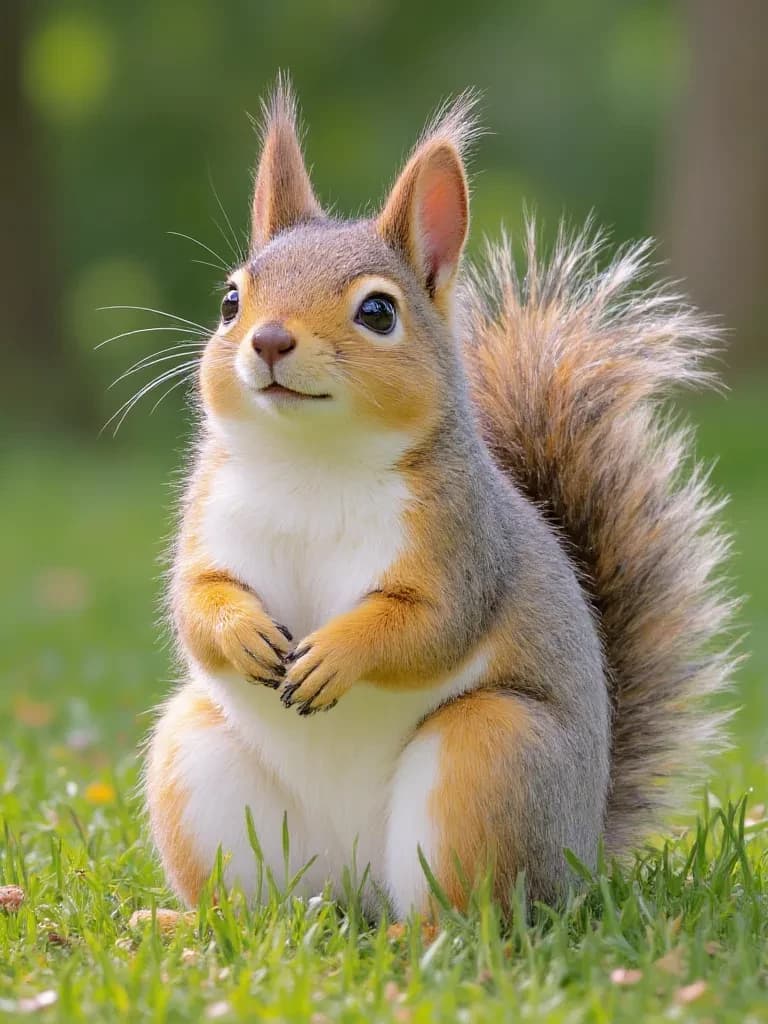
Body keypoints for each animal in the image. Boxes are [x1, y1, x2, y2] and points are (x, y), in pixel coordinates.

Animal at [144, 78, 734, 918]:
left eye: (378, 311)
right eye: (231, 300)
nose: (269, 339)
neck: (311, 463)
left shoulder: (462, 544)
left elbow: (429, 625)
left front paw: (335, 655)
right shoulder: (209, 523)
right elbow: (195, 601)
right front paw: (245, 633)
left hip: (489, 759)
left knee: (463, 914)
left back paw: (422, 932)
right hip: (197, 762)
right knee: (260, 908)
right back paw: (182, 923)